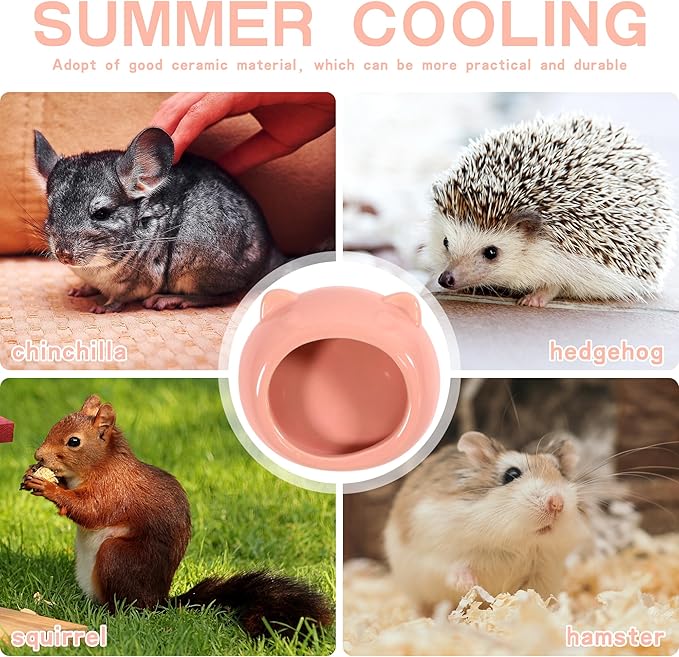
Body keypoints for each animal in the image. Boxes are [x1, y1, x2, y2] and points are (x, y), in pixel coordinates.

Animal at [34, 128, 281, 313]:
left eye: (101, 213)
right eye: (51, 210)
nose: (63, 255)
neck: (95, 268)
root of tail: (270, 254)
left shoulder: (138, 282)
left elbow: (119, 298)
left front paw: (103, 307)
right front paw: (80, 289)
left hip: (197, 260)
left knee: (226, 295)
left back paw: (170, 300)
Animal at [384, 431, 590, 613]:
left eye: (560, 472)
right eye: (511, 474)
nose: (557, 503)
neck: (515, 543)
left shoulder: (543, 573)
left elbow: (533, 594)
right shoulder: (436, 552)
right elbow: (453, 568)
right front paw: (469, 584)